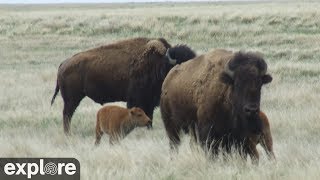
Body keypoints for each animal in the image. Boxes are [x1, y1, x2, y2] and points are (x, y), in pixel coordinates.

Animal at [50, 37, 195, 134]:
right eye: (181, 64)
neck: (159, 64)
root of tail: (63, 64)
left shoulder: (149, 101)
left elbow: (149, 116)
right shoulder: (138, 99)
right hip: (72, 99)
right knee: (67, 114)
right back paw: (68, 133)